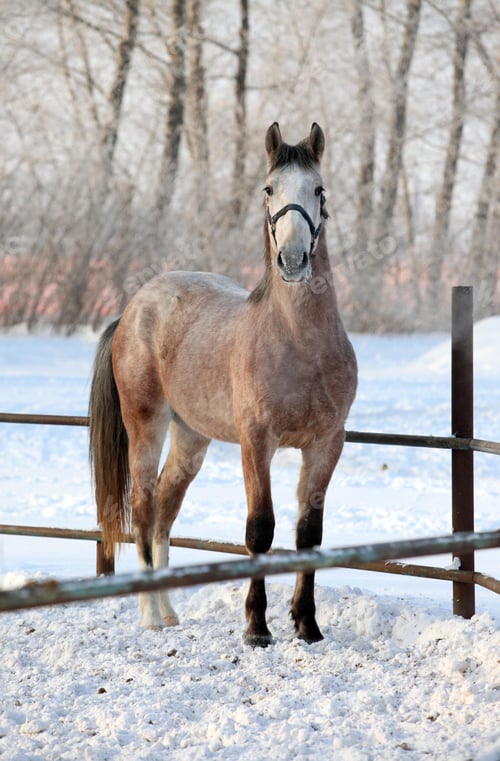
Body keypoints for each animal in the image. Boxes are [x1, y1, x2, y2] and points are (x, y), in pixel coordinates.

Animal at [89, 122, 357, 646]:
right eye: (268, 189)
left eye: (318, 190)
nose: (292, 259)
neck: (301, 344)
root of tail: (132, 309)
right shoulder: (257, 442)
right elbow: (260, 530)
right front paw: (256, 627)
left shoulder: (326, 444)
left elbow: (308, 535)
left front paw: (307, 625)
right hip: (146, 426)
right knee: (144, 507)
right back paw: (150, 616)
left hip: (192, 437)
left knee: (166, 508)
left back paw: (169, 611)